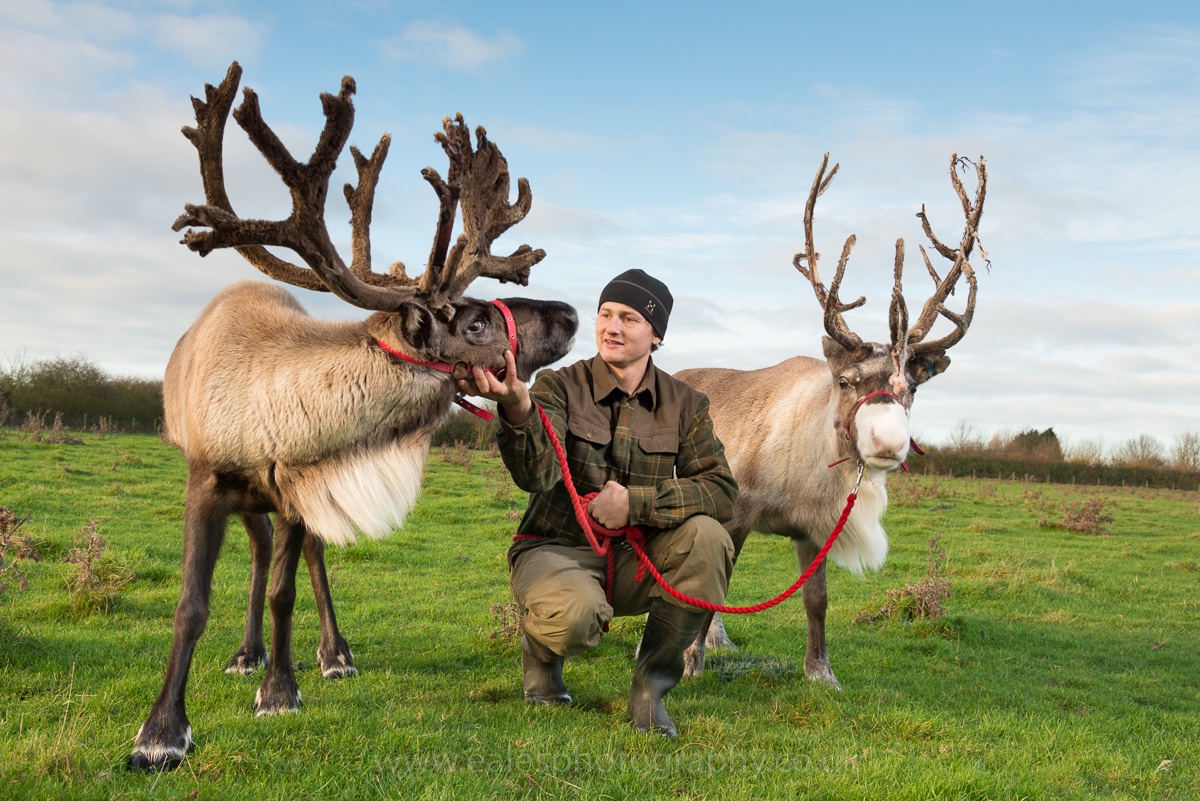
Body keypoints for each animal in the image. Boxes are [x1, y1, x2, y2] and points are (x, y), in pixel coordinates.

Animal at [128, 62, 578, 772]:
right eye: (475, 322)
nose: (570, 313)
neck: (266, 408)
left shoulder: (297, 487)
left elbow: (285, 589)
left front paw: (280, 692)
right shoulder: (205, 479)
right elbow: (191, 604)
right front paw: (161, 733)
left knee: (299, 558)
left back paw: (330, 655)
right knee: (258, 552)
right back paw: (246, 653)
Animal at [674, 153, 987, 686]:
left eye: (912, 388)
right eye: (844, 380)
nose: (888, 440)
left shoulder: (814, 531)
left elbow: (816, 601)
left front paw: (821, 672)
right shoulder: (737, 513)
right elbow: (712, 591)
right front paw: (690, 662)